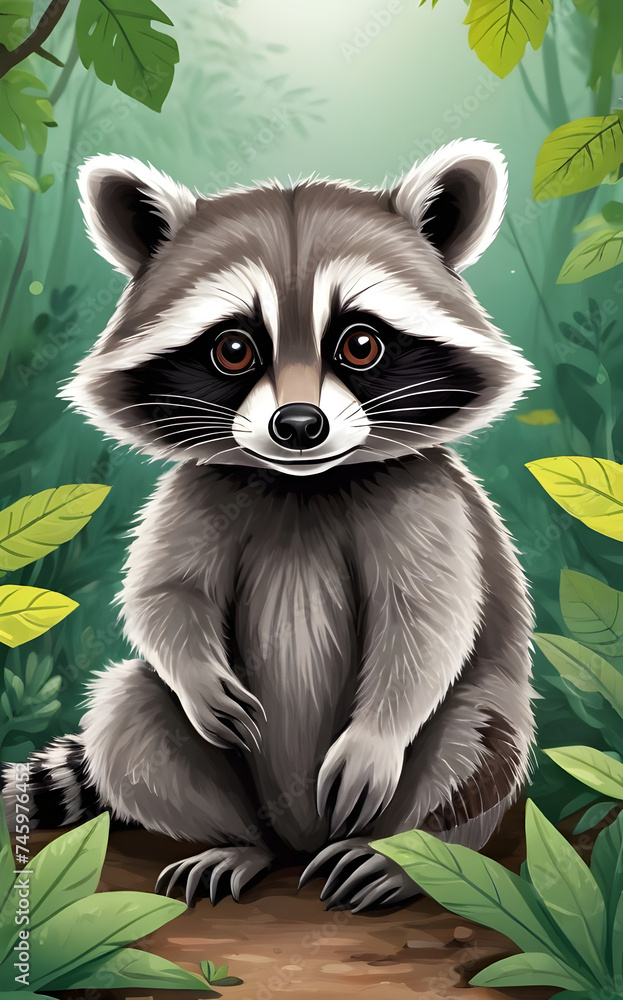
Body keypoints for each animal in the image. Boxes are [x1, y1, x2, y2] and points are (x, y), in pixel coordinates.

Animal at [2, 140, 537, 912]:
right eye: (233, 349)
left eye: (361, 344)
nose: (299, 425)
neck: (301, 485)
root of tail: (300, 840)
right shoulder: (199, 489)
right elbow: (165, 593)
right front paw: (195, 672)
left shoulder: (423, 495)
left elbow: (429, 620)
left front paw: (378, 734)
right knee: (126, 715)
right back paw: (237, 843)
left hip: (476, 733)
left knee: (475, 739)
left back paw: (406, 853)